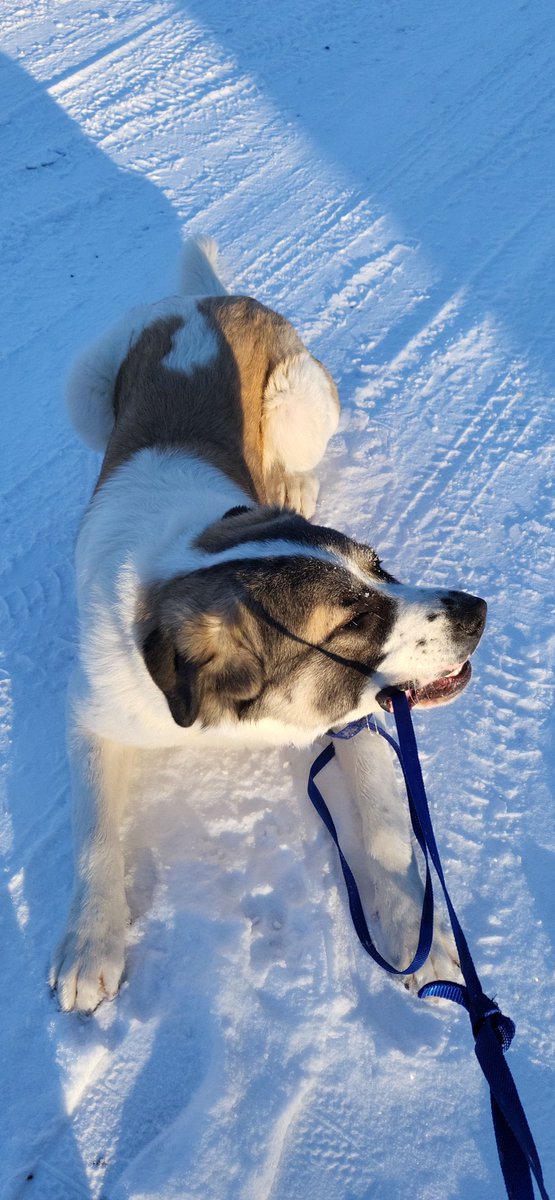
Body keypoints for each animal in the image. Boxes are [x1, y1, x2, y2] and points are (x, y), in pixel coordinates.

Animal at [51, 241, 485, 1012]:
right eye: (352, 620)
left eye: (379, 566)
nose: (476, 610)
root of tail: (209, 298)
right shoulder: (93, 708)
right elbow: (94, 832)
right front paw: (90, 941)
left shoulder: (354, 717)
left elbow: (385, 828)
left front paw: (420, 937)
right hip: (85, 385)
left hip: (298, 398)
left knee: (298, 452)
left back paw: (291, 482)